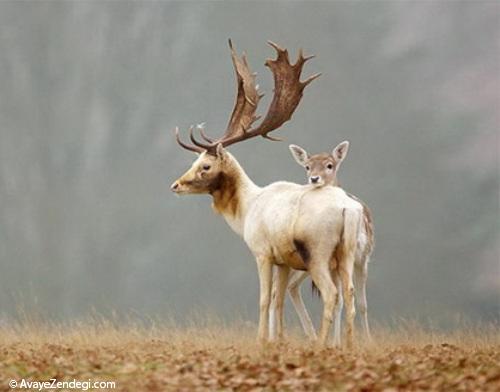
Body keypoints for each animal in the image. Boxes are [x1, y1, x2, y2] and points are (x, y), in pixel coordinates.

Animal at [169, 40, 364, 346]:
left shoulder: (262, 252)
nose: (176, 185)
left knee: (332, 294)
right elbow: (278, 300)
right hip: (346, 253)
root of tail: (349, 209)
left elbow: (263, 299)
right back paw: (348, 345)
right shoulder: (283, 260)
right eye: (194, 161)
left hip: (318, 252)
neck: (247, 209)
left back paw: (321, 344)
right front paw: (278, 341)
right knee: (350, 295)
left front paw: (261, 340)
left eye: (205, 165)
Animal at [270, 142, 376, 346]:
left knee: (287, 288)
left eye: (330, 165)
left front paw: (363, 341)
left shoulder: (363, 257)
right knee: (280, 289)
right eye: (307, 166)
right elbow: (343, 301)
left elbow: (361, 303)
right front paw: (337, 343)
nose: (314, 178)